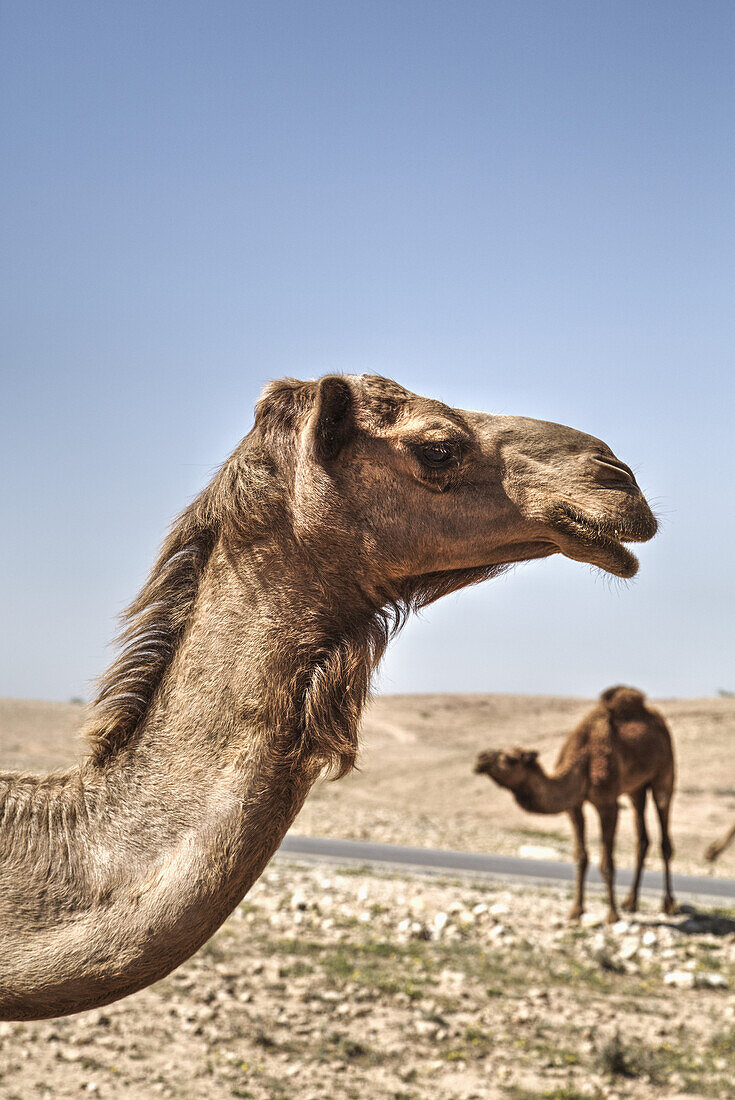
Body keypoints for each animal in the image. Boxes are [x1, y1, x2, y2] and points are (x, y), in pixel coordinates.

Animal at [473, 682, 673, 924]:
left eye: (510, 759)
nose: (481, 758)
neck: (582, 763)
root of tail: (657, 718)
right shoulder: (574, 806)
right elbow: (581, 858)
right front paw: (576, 911)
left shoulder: (607, 803)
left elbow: (607, 863)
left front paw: (612, 915)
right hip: (636, 788)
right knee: (642, 837)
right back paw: (631, 902)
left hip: (665, 772)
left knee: (664, 835)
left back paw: (668, 904)